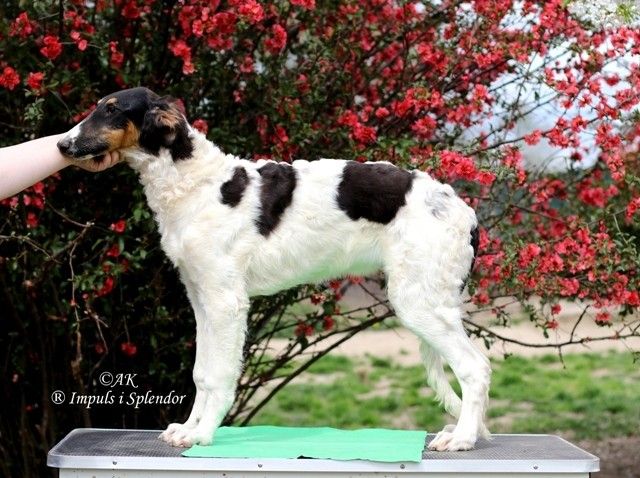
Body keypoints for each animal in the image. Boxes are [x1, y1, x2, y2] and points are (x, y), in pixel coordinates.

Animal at [57, 87, 491, 451]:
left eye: (112, 110)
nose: (62, 144)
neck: (198, 185)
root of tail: (465, 213)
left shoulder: (226, 302)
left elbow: (219, 374)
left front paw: (202, 434)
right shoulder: (201, 299)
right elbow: (201, 373)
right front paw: (188, 428)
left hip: (418, 301)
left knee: (475, 368)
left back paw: (462, 439)